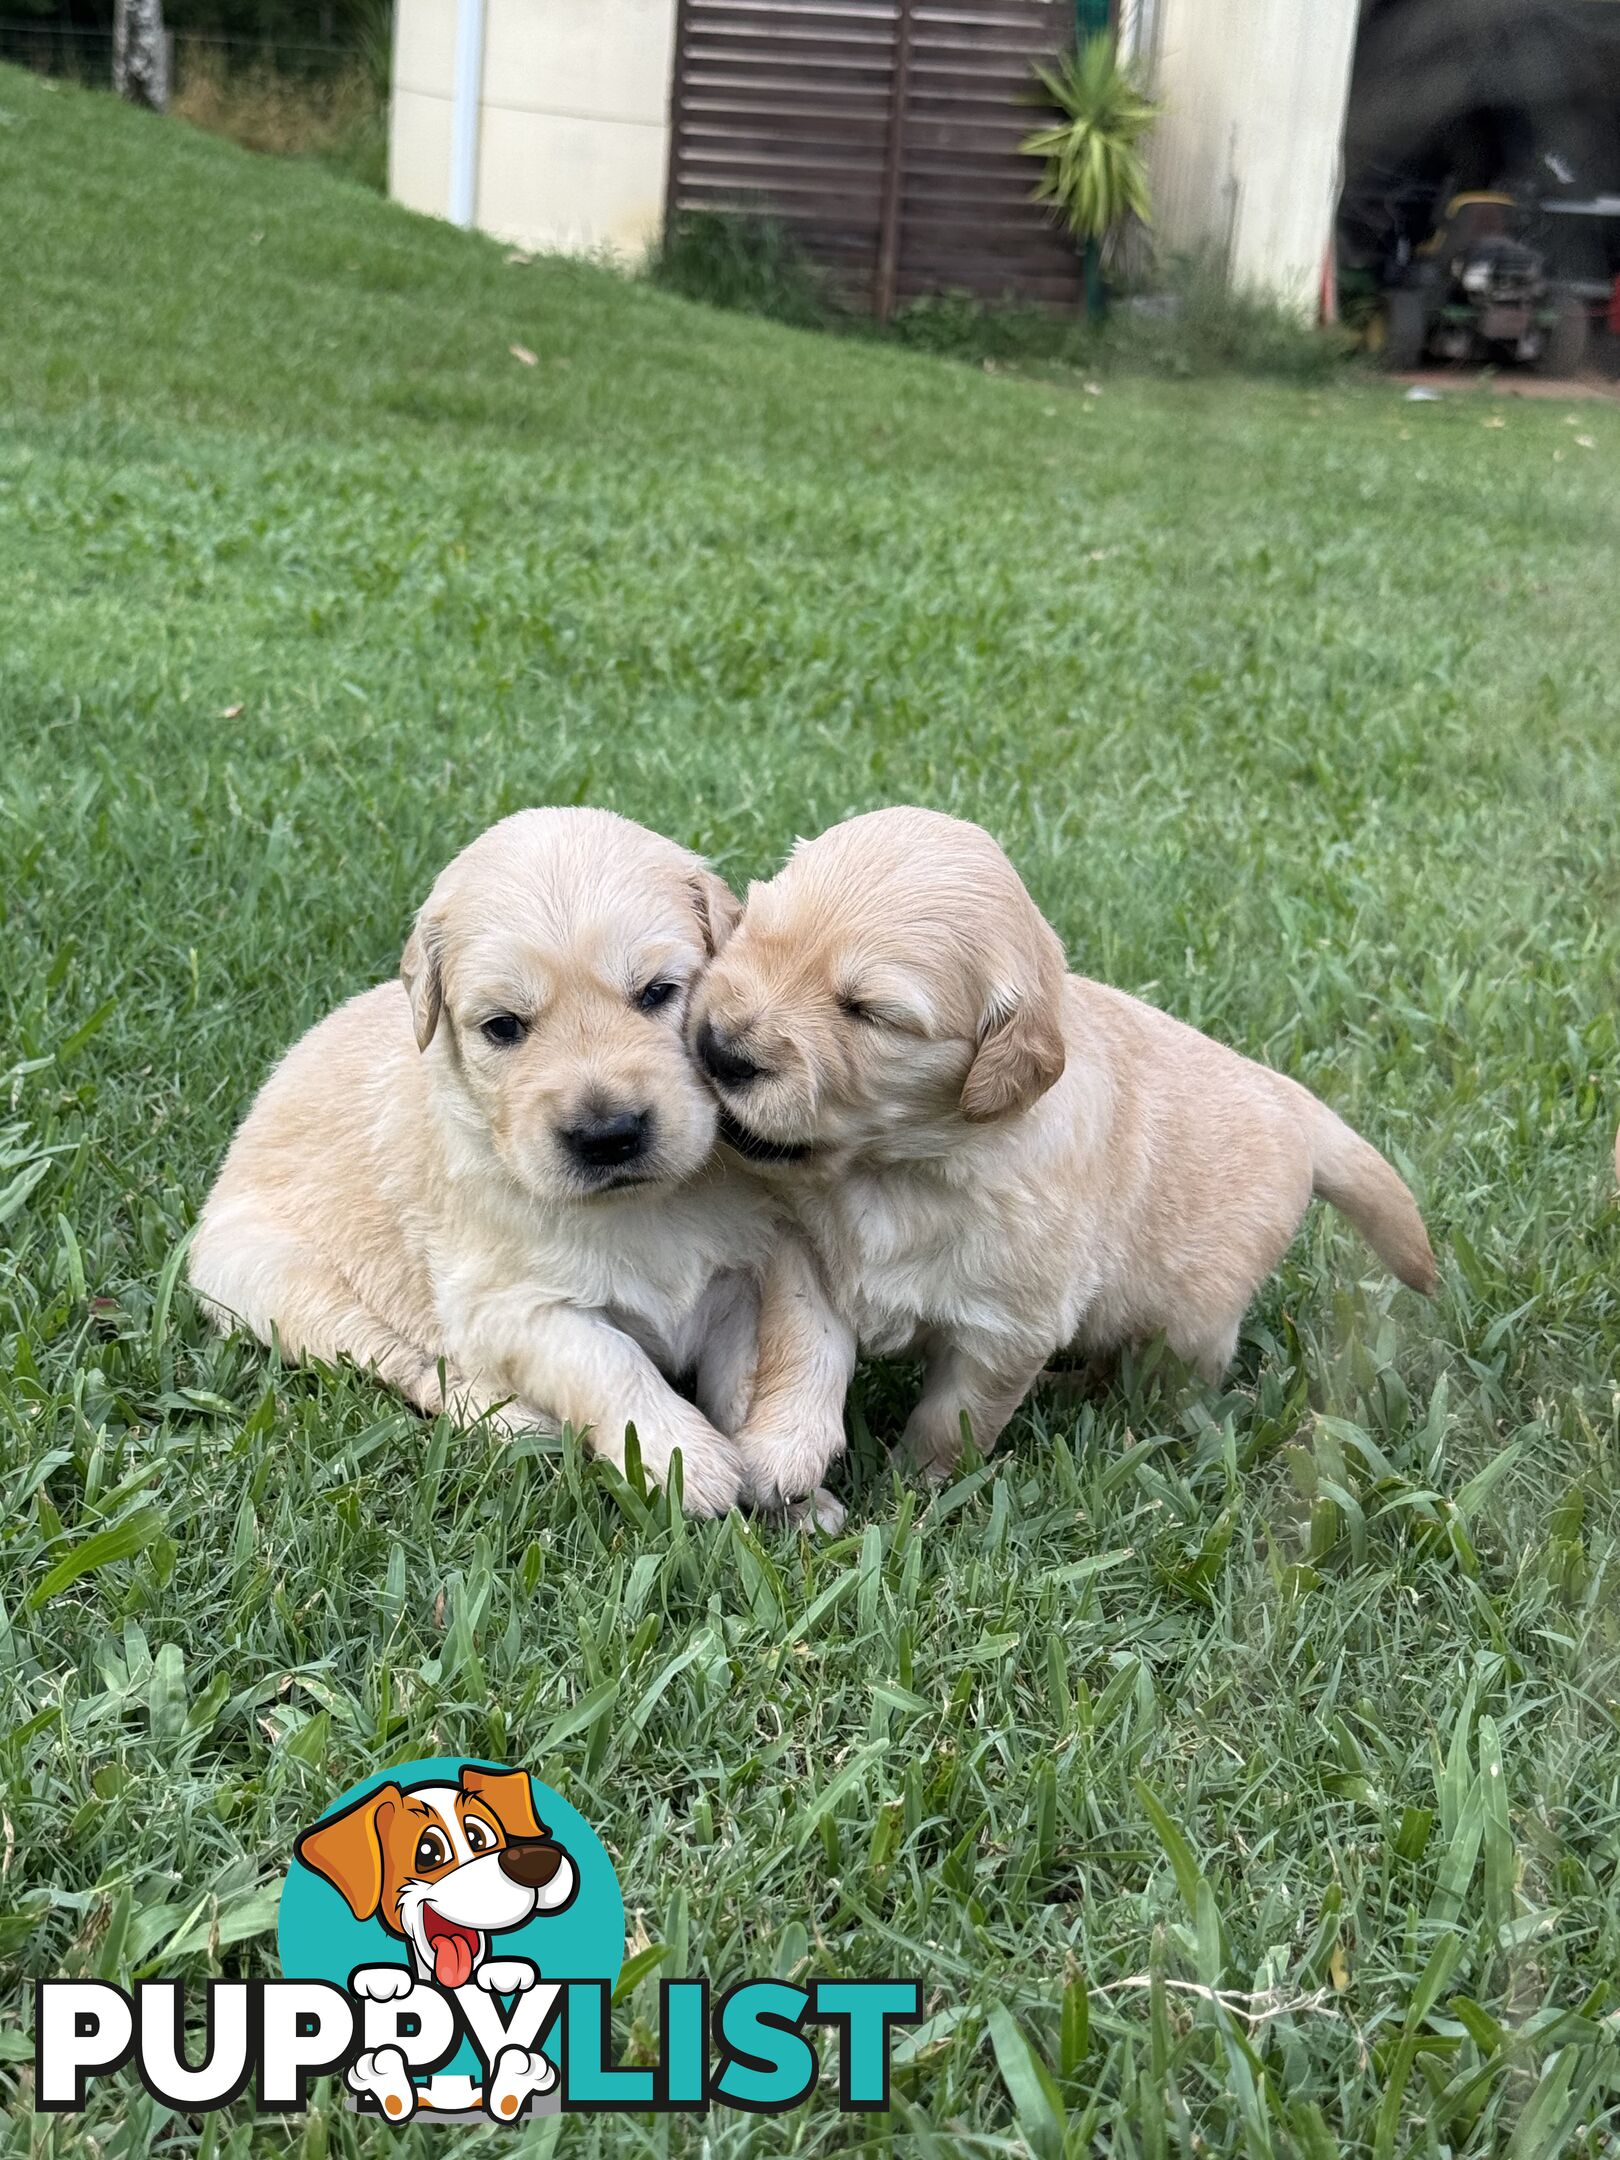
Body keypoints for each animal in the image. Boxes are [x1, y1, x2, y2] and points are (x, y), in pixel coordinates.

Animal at [193, 799, 838, 1520]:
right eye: (503, 1026)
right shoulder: (507, 1306)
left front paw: (791, 1493)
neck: (641, 1205)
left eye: (657, 992)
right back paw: (517, 1421)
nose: (608, 1134)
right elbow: (608, 1359)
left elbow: (748, 1376)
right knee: (406, 1365)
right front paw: (684, 1462)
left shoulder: (745, 1269)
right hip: (277, 1284)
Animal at [691, 803, 1442, 1494]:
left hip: (1193, 1322)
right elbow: (803, 1357)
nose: (718, 1048)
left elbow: (952, 1422)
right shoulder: (810, 1260)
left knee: (1163, 1377)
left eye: (870, 1013)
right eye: (752, 931)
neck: (894, 1172)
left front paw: (917, 1491)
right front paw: (780, 1457)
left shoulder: (1005, 1330)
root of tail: (1291, 1099)